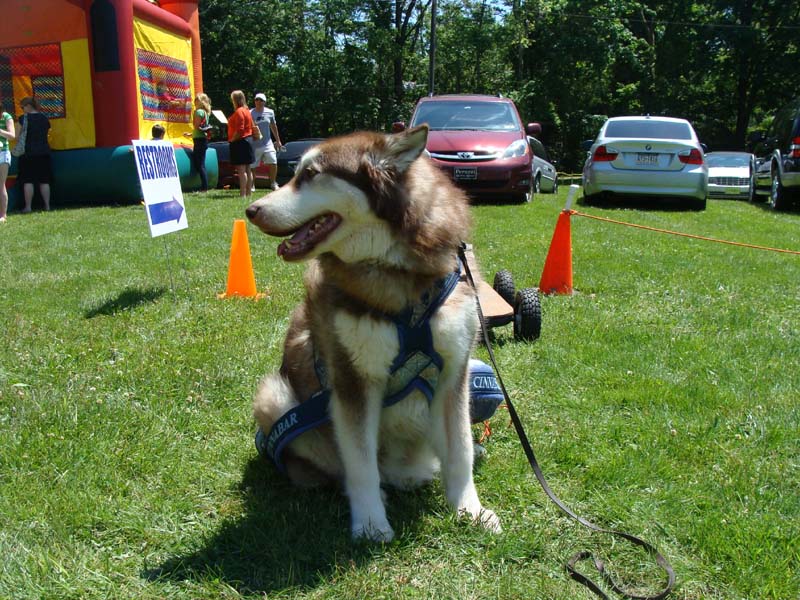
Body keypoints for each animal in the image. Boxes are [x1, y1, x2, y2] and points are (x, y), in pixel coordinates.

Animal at [247, 124, 504, 540]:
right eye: (295, 172)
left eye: (311, 174)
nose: (250, 210)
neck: (398, 271)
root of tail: (406, 471)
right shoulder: (354, 378)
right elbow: (360, 462)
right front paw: (369, 522)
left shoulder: (456, 372)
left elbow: (460, 449)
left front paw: (470, 510)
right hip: (274, 397)